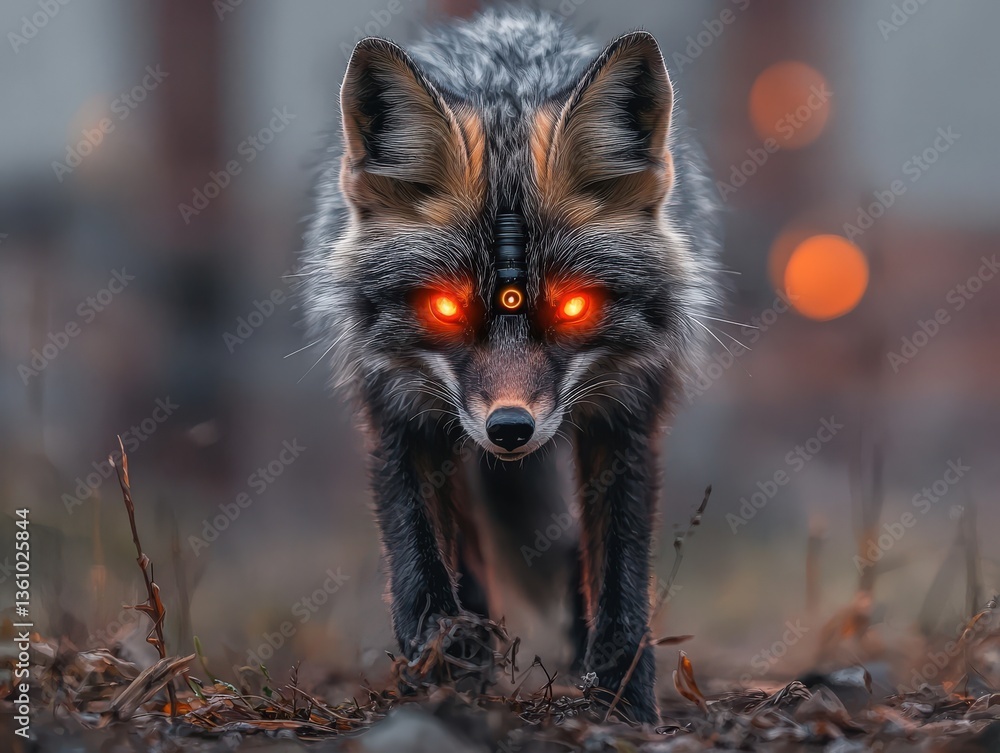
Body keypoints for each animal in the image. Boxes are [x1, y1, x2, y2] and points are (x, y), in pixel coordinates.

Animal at [302, 9, 721, 724]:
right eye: (444, 308)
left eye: (576, 306)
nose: (510, 429)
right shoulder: (397, 408)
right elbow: (420, 558)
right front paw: (444, 667)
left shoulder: (626, 415)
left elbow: (618, 573)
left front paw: (623, 698)